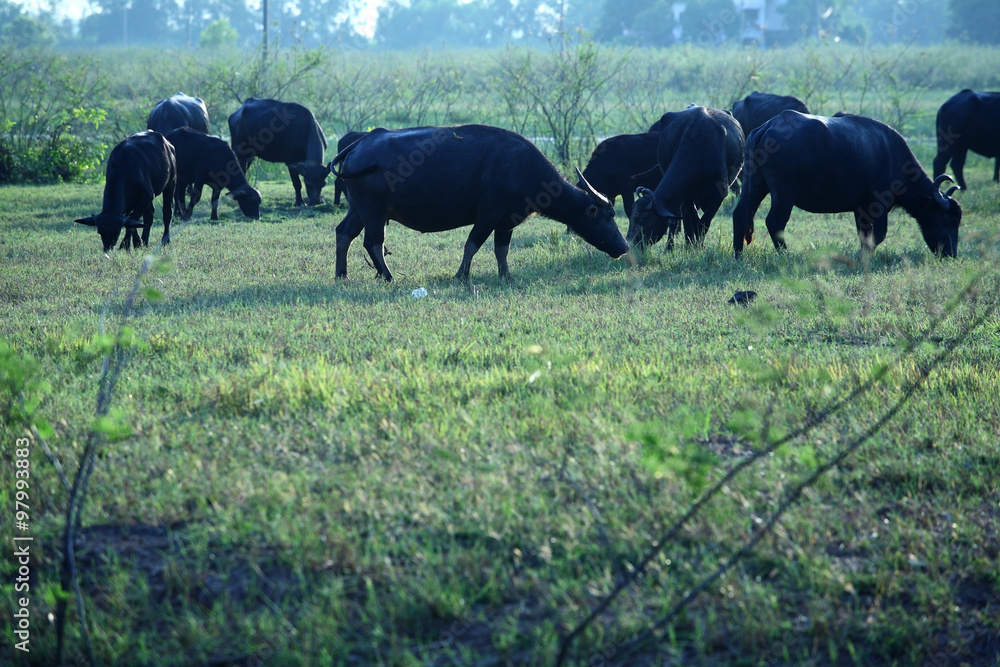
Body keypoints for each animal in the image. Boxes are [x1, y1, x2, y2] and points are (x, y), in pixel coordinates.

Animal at [328, 125, 624, 282]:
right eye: (609, 215)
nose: (624, 246)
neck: (525, 169)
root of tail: (359, 144)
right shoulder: (488, 215)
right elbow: (471, 245)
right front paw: (461, 275)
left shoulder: (506, 222)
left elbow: (501, 250)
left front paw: (506, 275)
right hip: (373, 211)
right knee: (373, 242)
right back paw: (387, 275)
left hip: (357, 209)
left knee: (344, 233)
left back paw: (342, 273)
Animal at [632, 107, 744, 248]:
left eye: (639, 219)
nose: (630, 242)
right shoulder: (687, 195)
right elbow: (693, 220)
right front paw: (695, 246)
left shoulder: (720, 193)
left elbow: (704, 223)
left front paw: (700, 247)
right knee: (681, 216)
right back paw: (677, 245)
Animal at [736, 109, 960, 258]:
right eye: (948, 220)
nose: (951, 253)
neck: (893, 158)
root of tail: (767, 128)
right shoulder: (880, 203)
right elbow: (878, 235)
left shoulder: (860, 208)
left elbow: (864, 235)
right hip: (784, 192)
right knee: (775, 221)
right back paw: (785, 255)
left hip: (754, 184)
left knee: (741, 213)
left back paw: (738, 254)